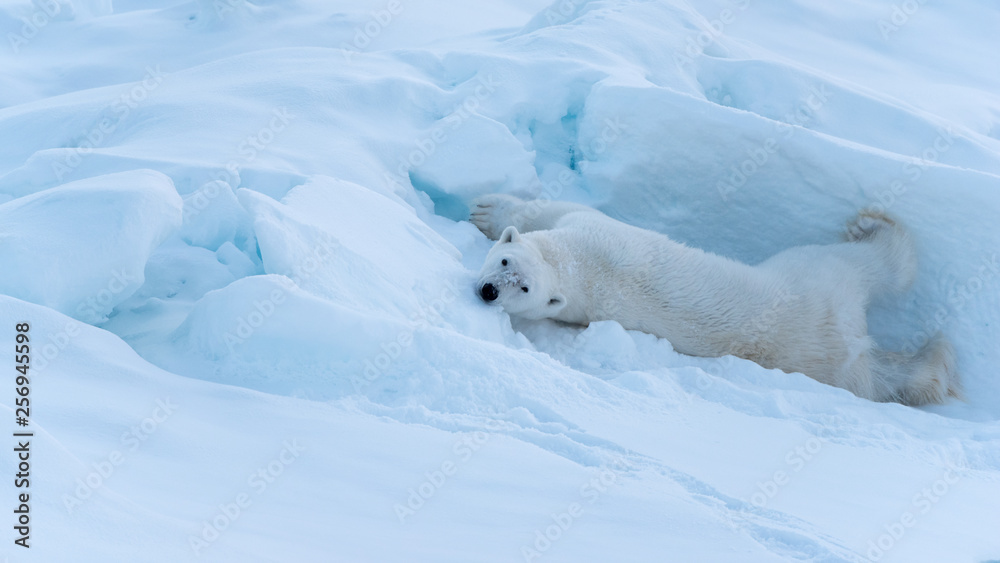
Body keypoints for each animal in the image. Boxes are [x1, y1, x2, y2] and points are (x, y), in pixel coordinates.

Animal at [470, 193, 961, 406]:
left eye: (523, 286)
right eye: (505, 262)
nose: (488, 291)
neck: (578, 266)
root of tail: (846, 337)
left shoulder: (588, 228)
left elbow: (544, 208)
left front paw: (485, 210)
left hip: (809, 274)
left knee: (872, 263)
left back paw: (872, 227)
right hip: (830, 350)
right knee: (875, 375)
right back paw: (935, 370)